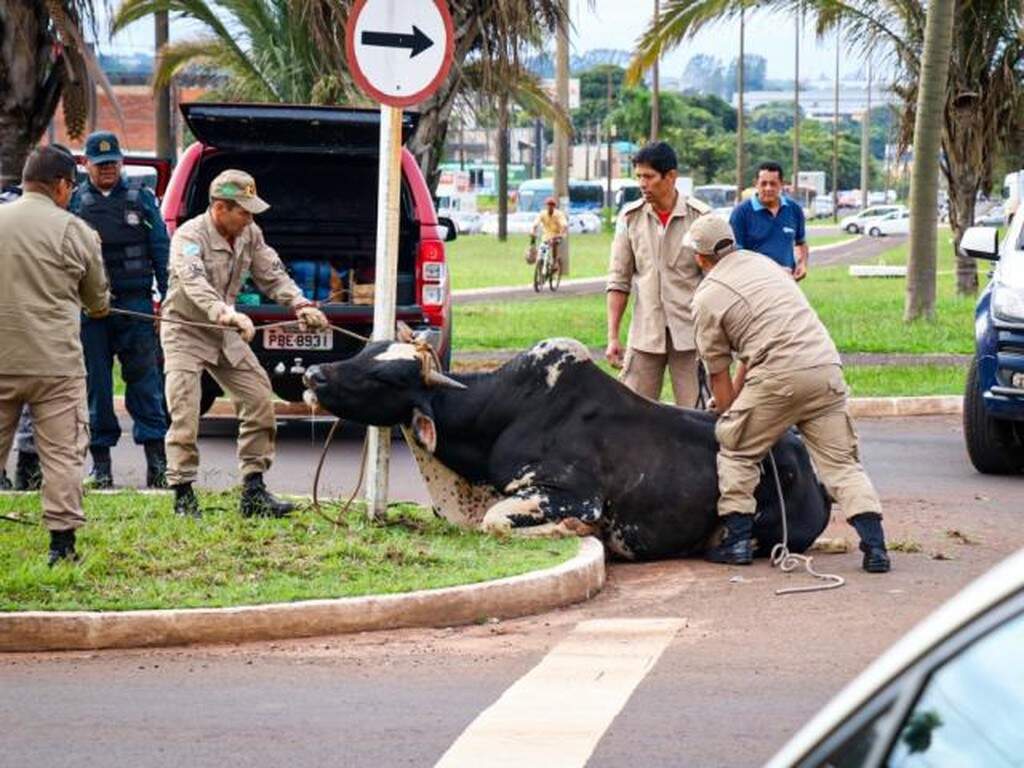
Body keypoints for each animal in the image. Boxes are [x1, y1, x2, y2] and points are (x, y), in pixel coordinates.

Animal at [303, 339, 831, 561]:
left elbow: (496, 522)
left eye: (384, 376)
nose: (312, 374)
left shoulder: (571, 494)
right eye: (366, 350)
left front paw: (578, 531)